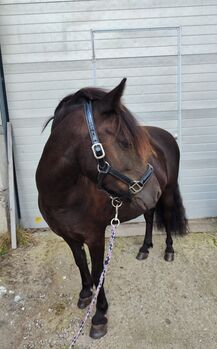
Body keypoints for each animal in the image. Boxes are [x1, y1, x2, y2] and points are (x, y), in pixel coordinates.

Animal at [35, 78, 186, 338]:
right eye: (125, 142)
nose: (153, 189)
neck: (63, 196)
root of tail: (167, 136)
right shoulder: (68, 236)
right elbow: (80, 262)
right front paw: (85, 294)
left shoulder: (95, 237)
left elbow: (98, 273)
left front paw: (99, 315)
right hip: (146, 203)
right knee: (149, 218)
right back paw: (144, 248)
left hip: (166, 195)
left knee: (166, 219)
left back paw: (168, 251)